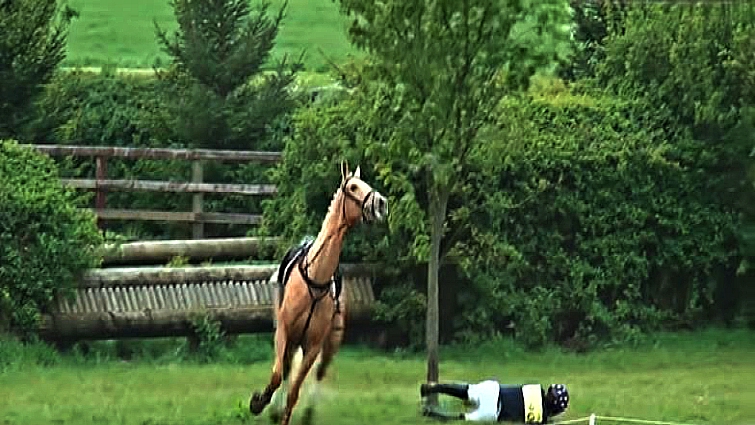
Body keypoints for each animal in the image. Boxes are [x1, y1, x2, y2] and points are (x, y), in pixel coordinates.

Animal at [249, 161, 389, 425]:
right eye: (353, 186)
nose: (382, 203)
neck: (315, 278)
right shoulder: (284, 332)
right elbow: (277, 375)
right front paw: (258, 402)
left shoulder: (313, 346)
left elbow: (294, 391)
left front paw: (284, 414)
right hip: (293, 340)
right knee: (286, 369)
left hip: (332, 340)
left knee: (318, 373)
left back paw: (306, 414)